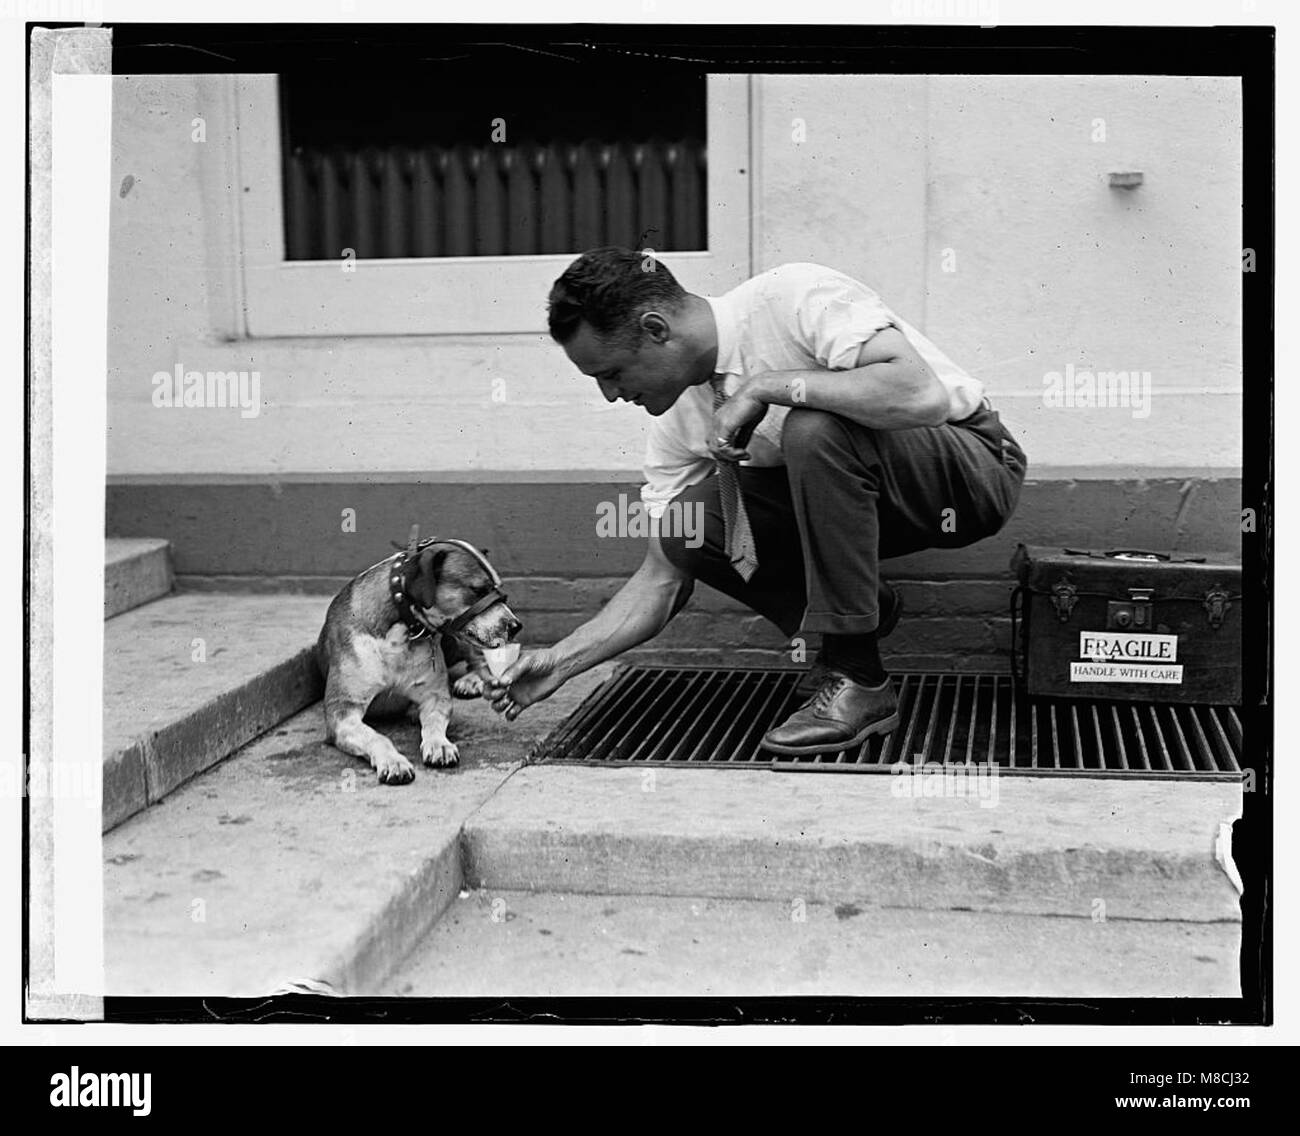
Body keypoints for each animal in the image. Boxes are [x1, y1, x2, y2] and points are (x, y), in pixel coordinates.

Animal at [313, 530, 517, 779]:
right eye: (478, 590)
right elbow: (376, 737)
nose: (516, 625)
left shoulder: (436, 697)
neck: (402, 633)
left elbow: (433, 724)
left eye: (498, 590)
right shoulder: (342, 713)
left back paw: (472, 680)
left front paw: (439, 744)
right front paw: (393, 761)